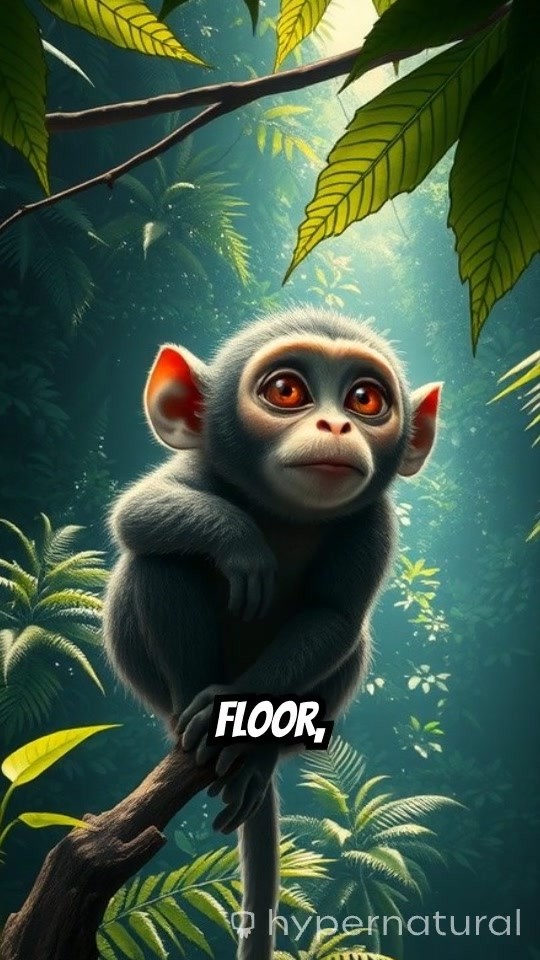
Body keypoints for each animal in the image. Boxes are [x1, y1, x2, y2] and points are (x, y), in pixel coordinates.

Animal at [103, 306, 441, 960]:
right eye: (286, 390)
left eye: (365, 399)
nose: (336, 423)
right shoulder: (202, 466)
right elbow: (135, 513)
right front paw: (237, 540)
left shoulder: (374, 521)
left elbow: (335, 619)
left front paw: (236, 712)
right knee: (159, 560)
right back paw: (192, 709)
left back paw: (254, 753)